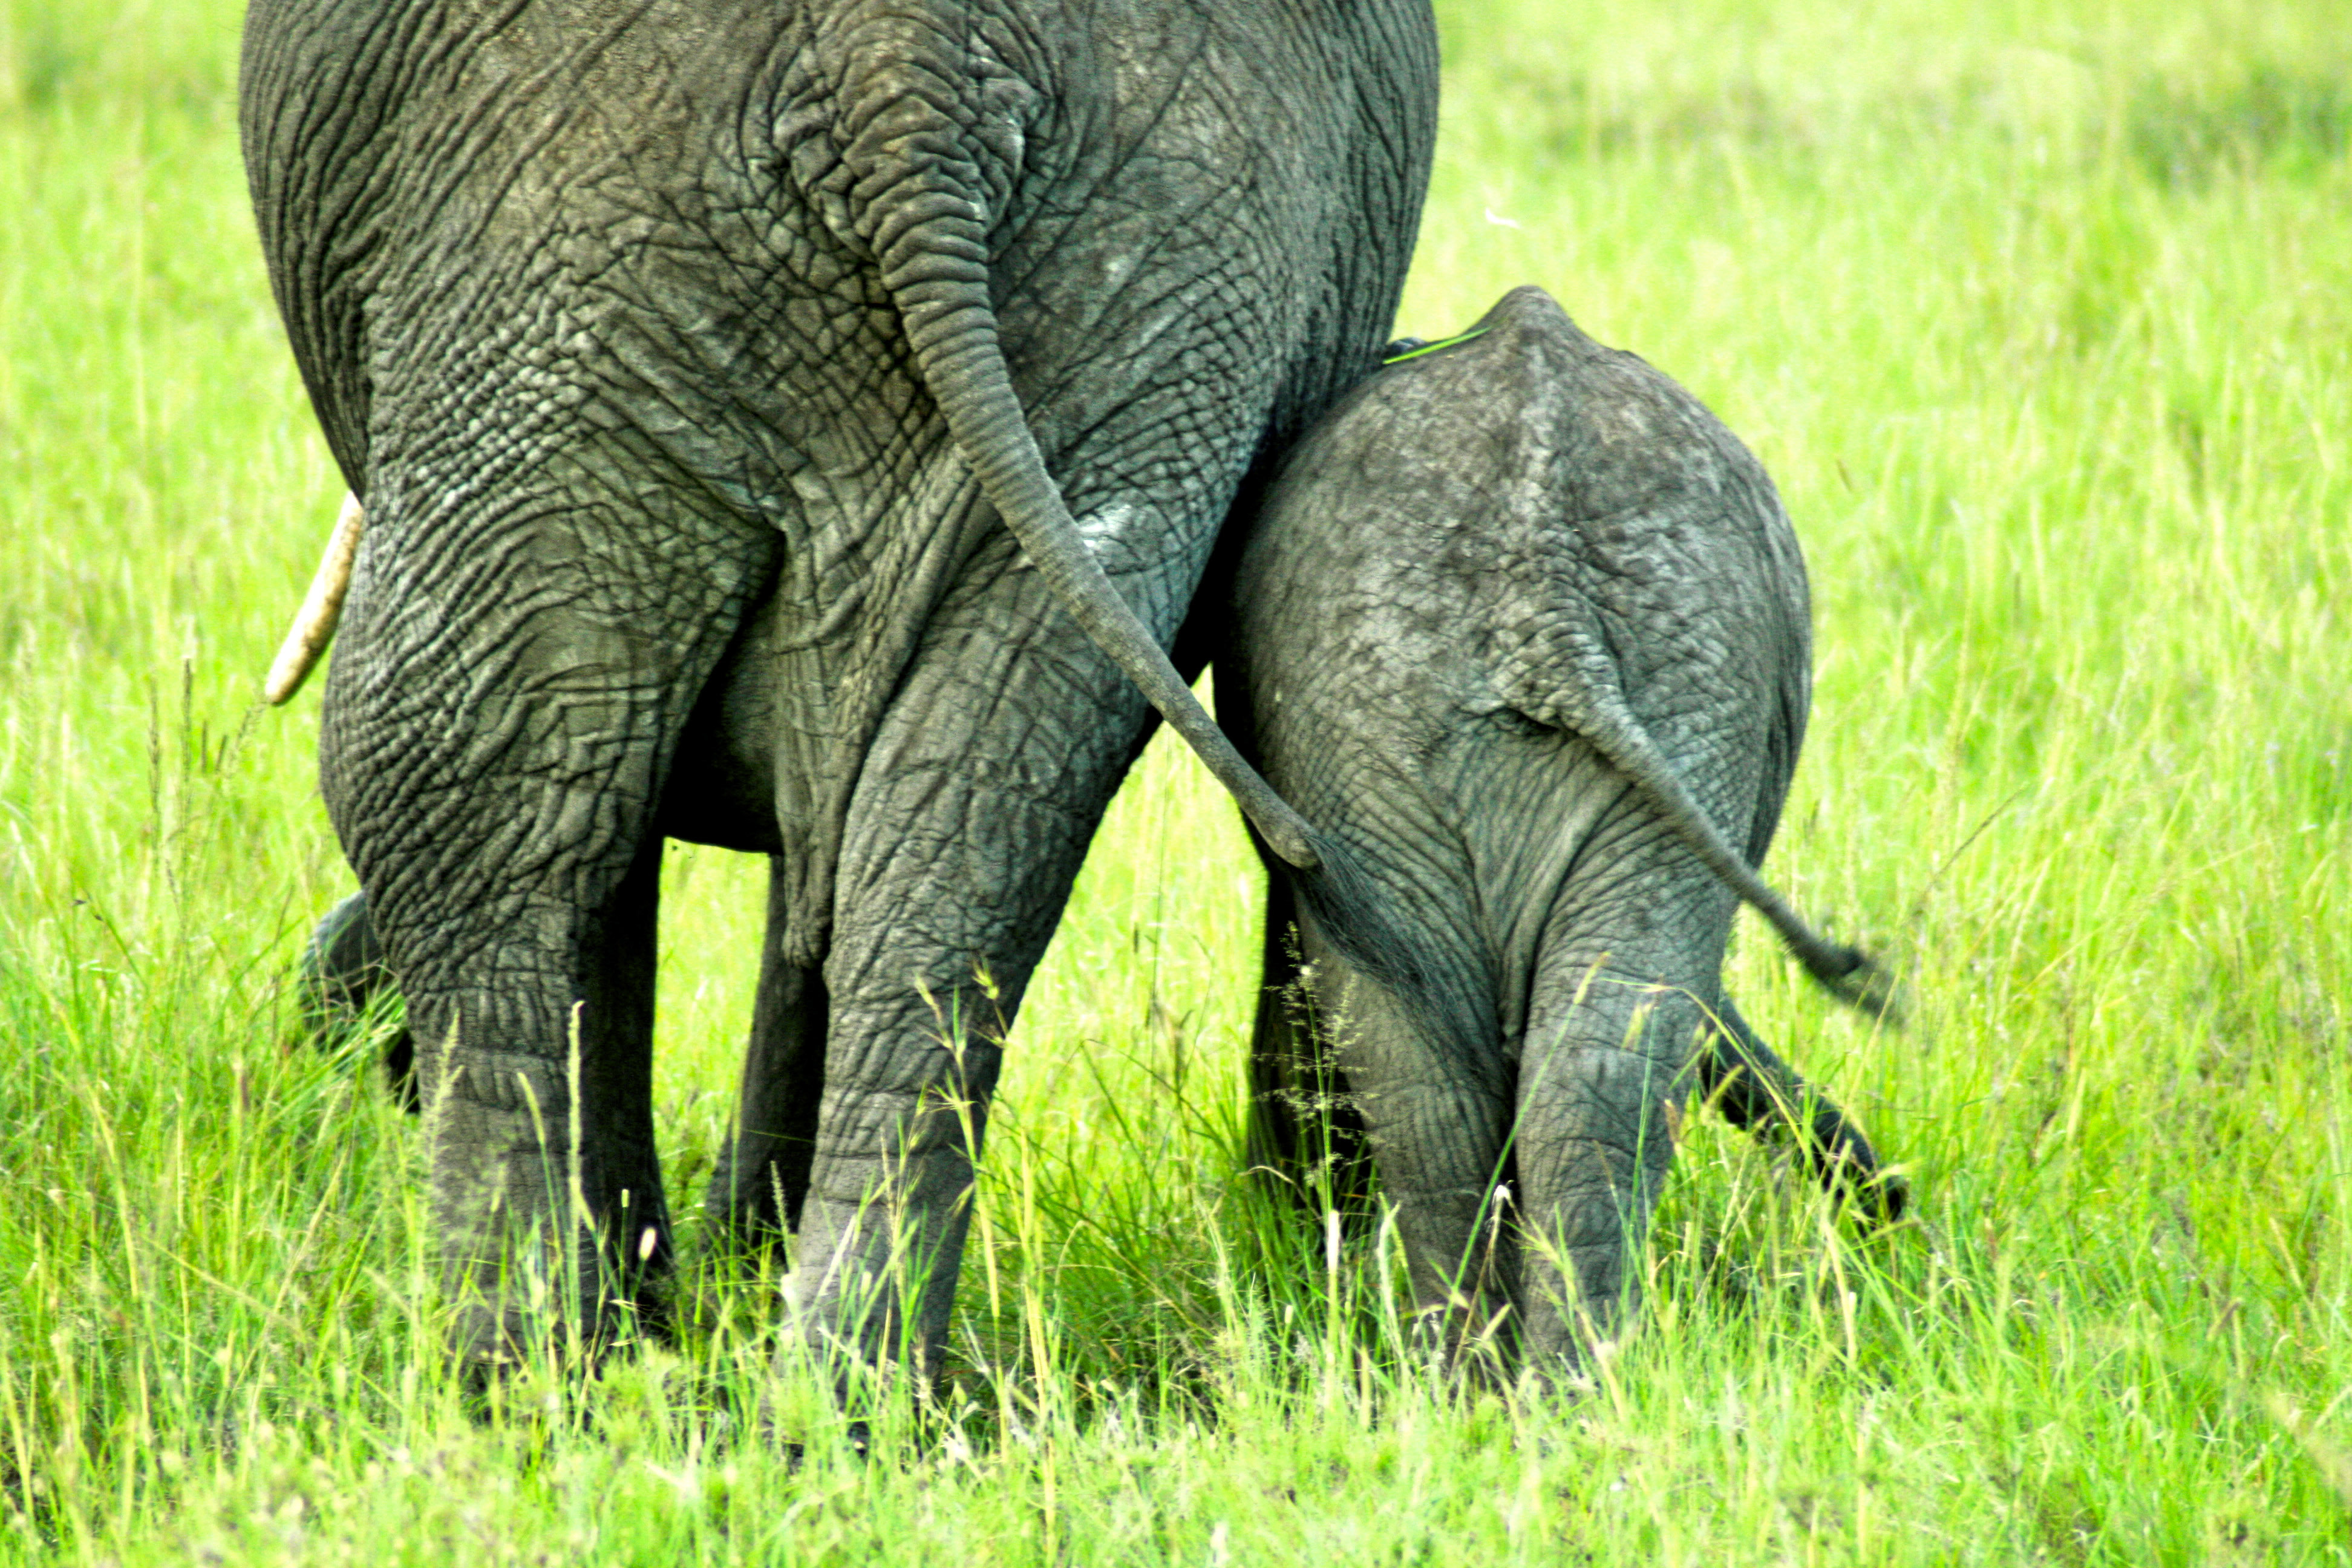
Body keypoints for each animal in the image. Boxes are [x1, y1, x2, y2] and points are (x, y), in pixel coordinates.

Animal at [243, 0, 1438, 1379]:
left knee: (455, 793)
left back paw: (517, 1375)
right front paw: (703, 1282)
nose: (341, 1019)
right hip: (1164, 288)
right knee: (954, 841)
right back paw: (839, 1386)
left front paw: (672, 1291)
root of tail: (907, 64)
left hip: (548, 251)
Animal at [1208, 285, 1900, 1381]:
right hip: (1626, 692)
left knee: (1479, 1060)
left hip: (1497, 707)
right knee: (1535, 1053)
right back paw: (1531, 1386)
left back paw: (1510, 1389)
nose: (1891, 1199)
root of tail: (1542, 590)